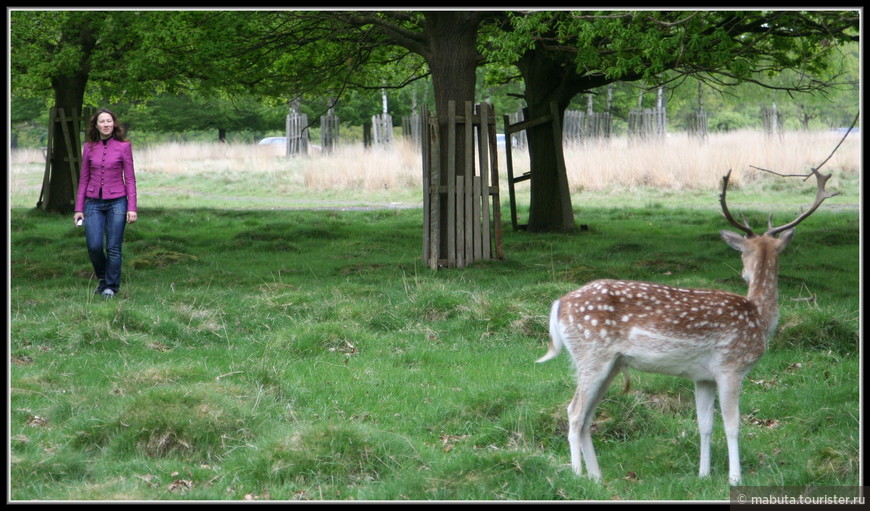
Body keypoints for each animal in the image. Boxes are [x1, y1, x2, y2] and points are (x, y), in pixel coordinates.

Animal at [540, 166, 836, 486]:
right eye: (742, 252)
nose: (744, 273)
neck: (759, 316)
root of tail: (559, 304)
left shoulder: (703, 377)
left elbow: (704, 423)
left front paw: (703, 474)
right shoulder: (730, 366)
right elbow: (732, 424)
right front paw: (735, 478)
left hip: (611, 364)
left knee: (587, 416)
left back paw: (597, 478)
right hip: (591, 354)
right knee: (574, 411)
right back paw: (576, 474)